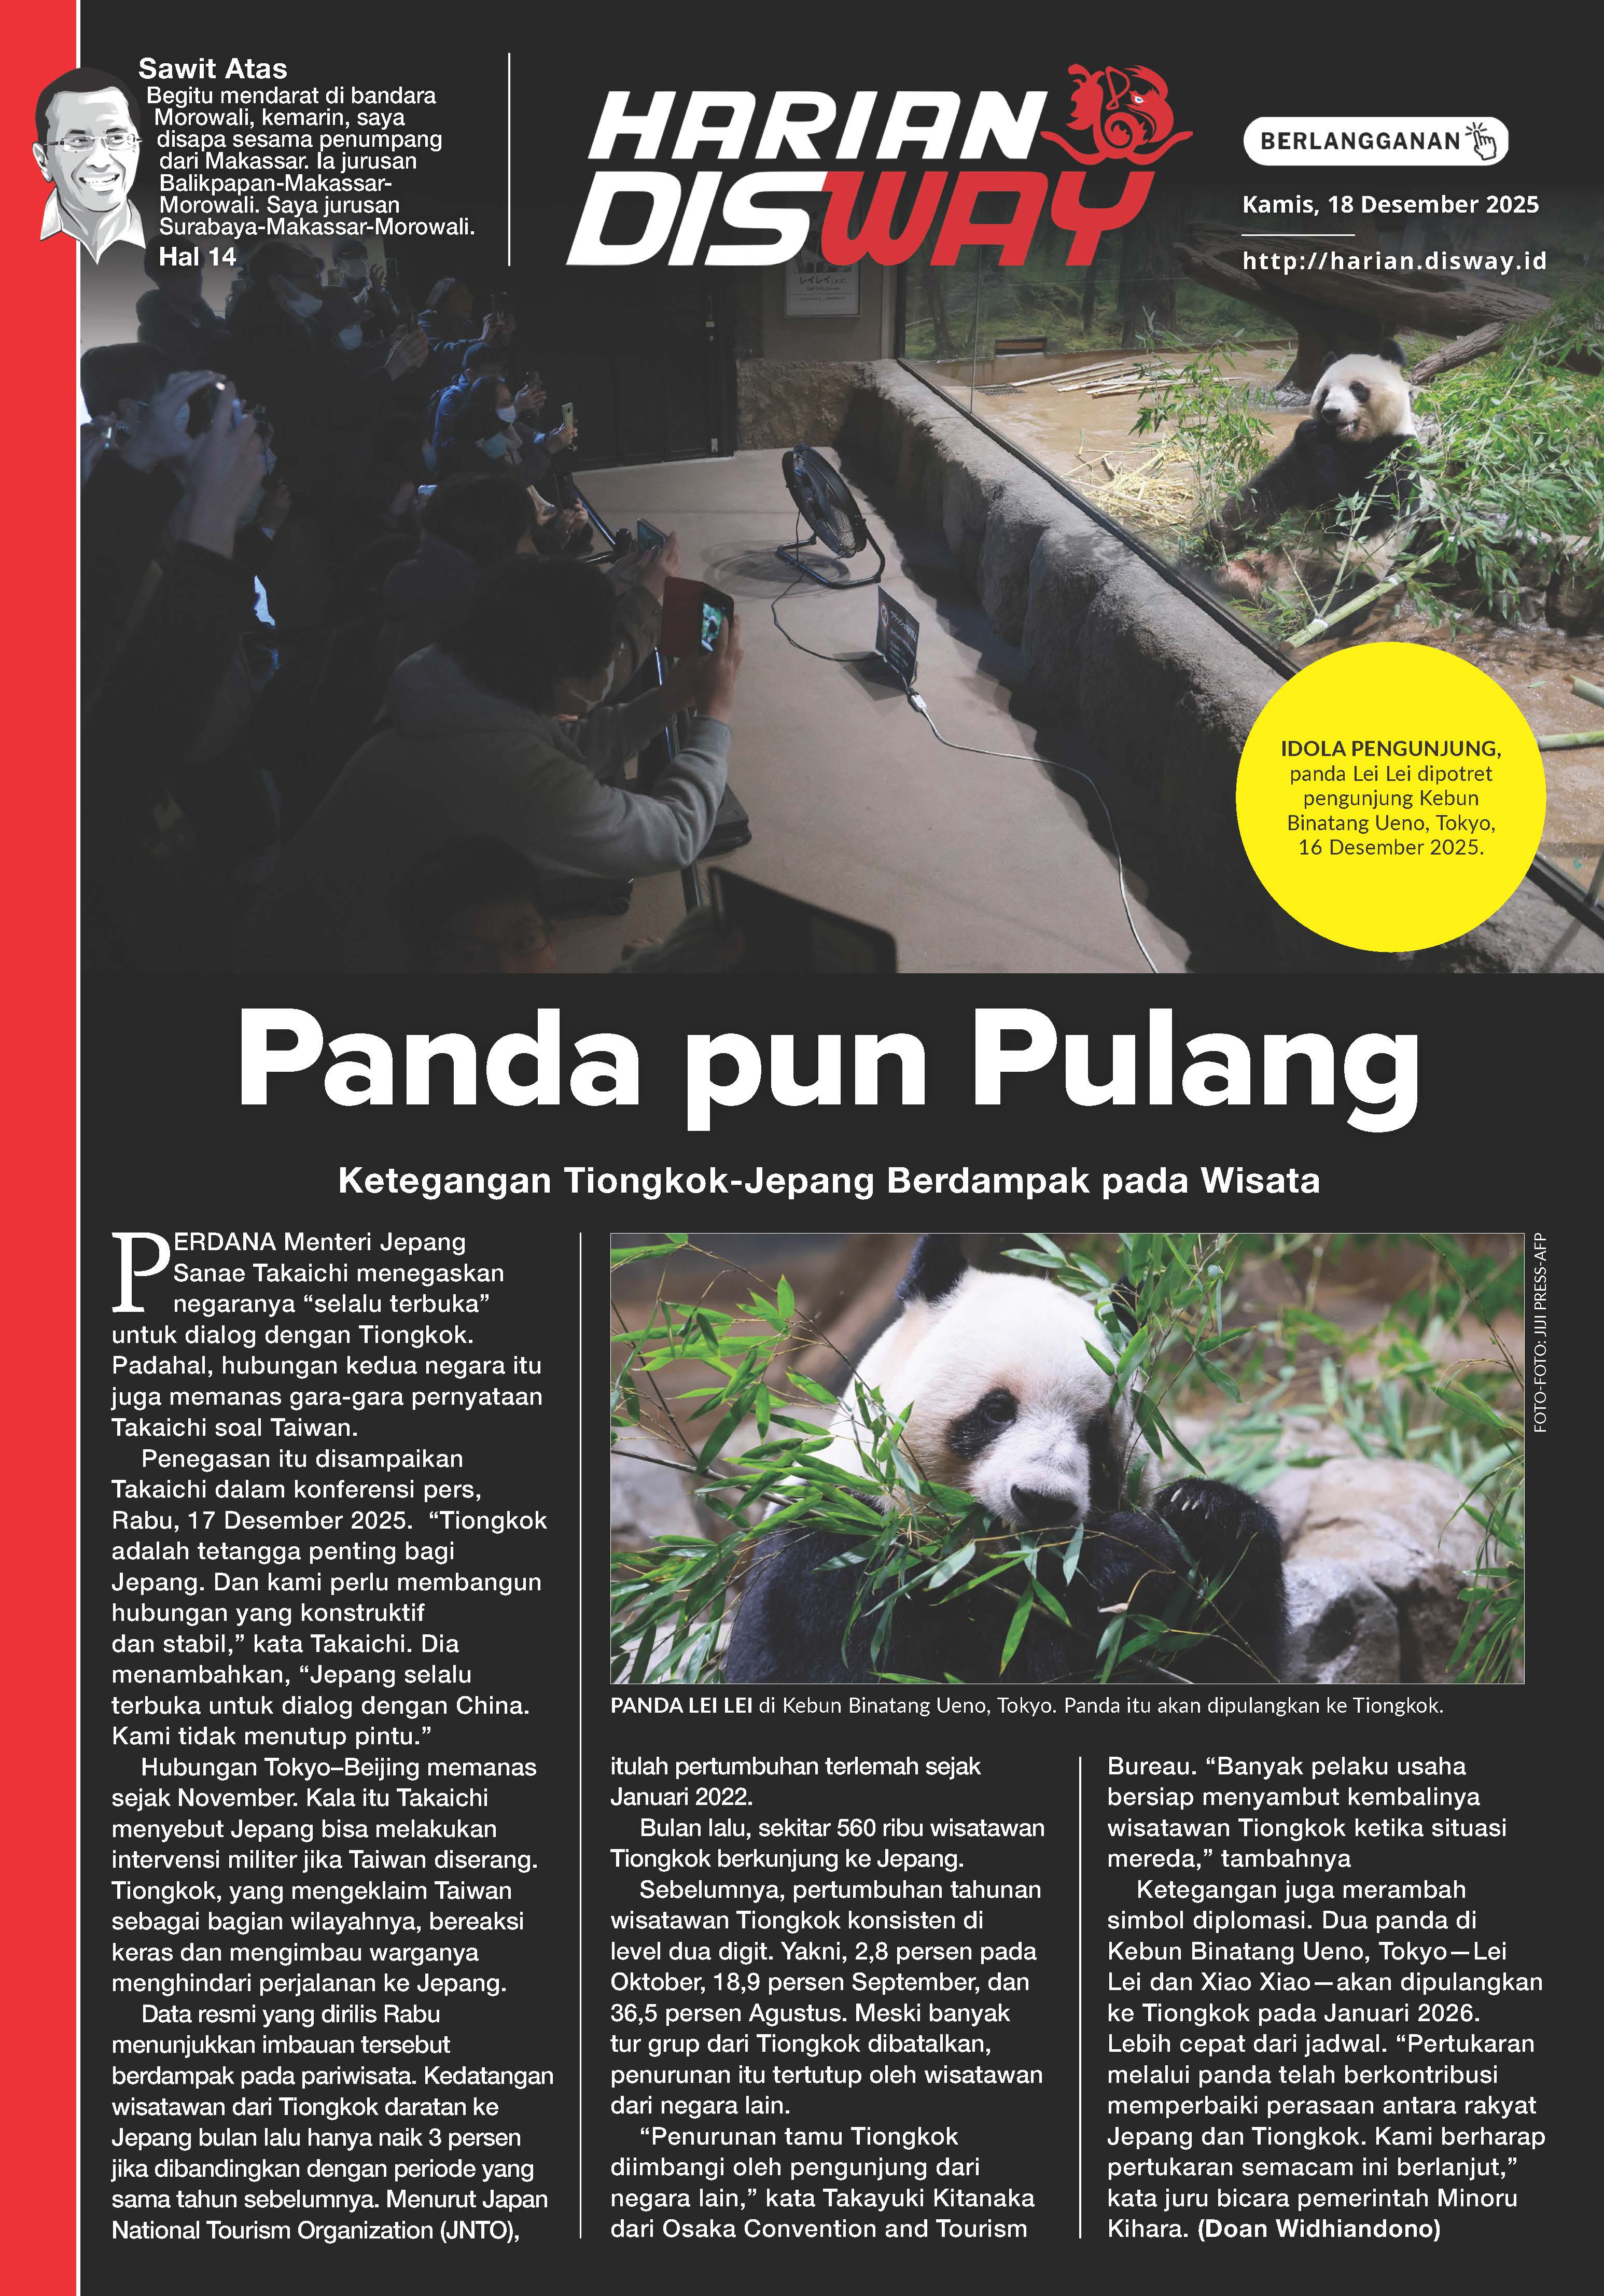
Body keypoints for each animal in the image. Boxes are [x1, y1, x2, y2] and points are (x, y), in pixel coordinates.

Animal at [721, 1236, 1288, 1686]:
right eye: (997, 1410)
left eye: (1096, 1432)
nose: (1042, 1502)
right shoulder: (833, 1543)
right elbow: (835, 1662)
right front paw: (1116, 1557)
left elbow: (1223, 1660)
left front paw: (1209, 1515)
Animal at [1210, 342, 1419, 598]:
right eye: (1326, 393)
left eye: (1357, 388)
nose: (1331, 412)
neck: (1349, 444)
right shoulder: (1297, 458)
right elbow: (1265, 493)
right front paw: (1224, 529)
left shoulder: (1397, 457)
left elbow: (1355, 513)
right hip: (1263, 547)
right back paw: (1221, 548)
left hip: (1352, 568)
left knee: (1347, 592)